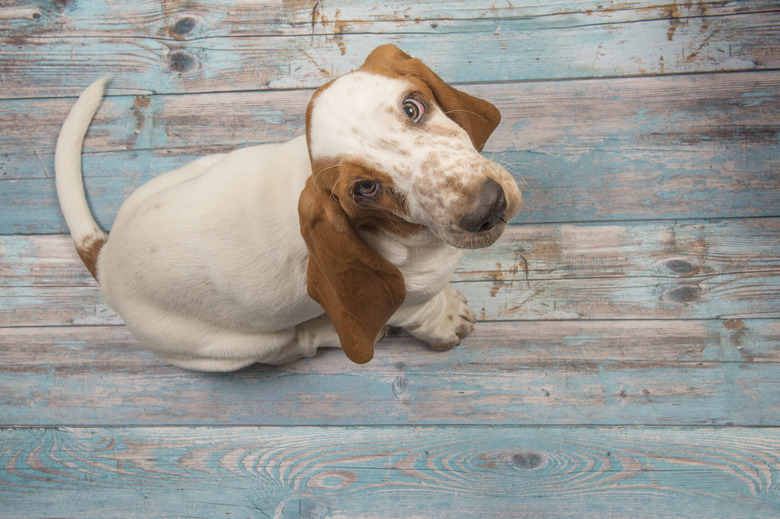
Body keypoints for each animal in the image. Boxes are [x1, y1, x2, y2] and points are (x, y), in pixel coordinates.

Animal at [56, 43, 524, 370]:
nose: (487, 207)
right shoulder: (406, 302)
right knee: (296, 345)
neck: (410, 234)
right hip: (236, 346)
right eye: (365, 188)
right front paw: (447, 320)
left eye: (413, 107)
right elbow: (423, 312)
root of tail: (104, 259)